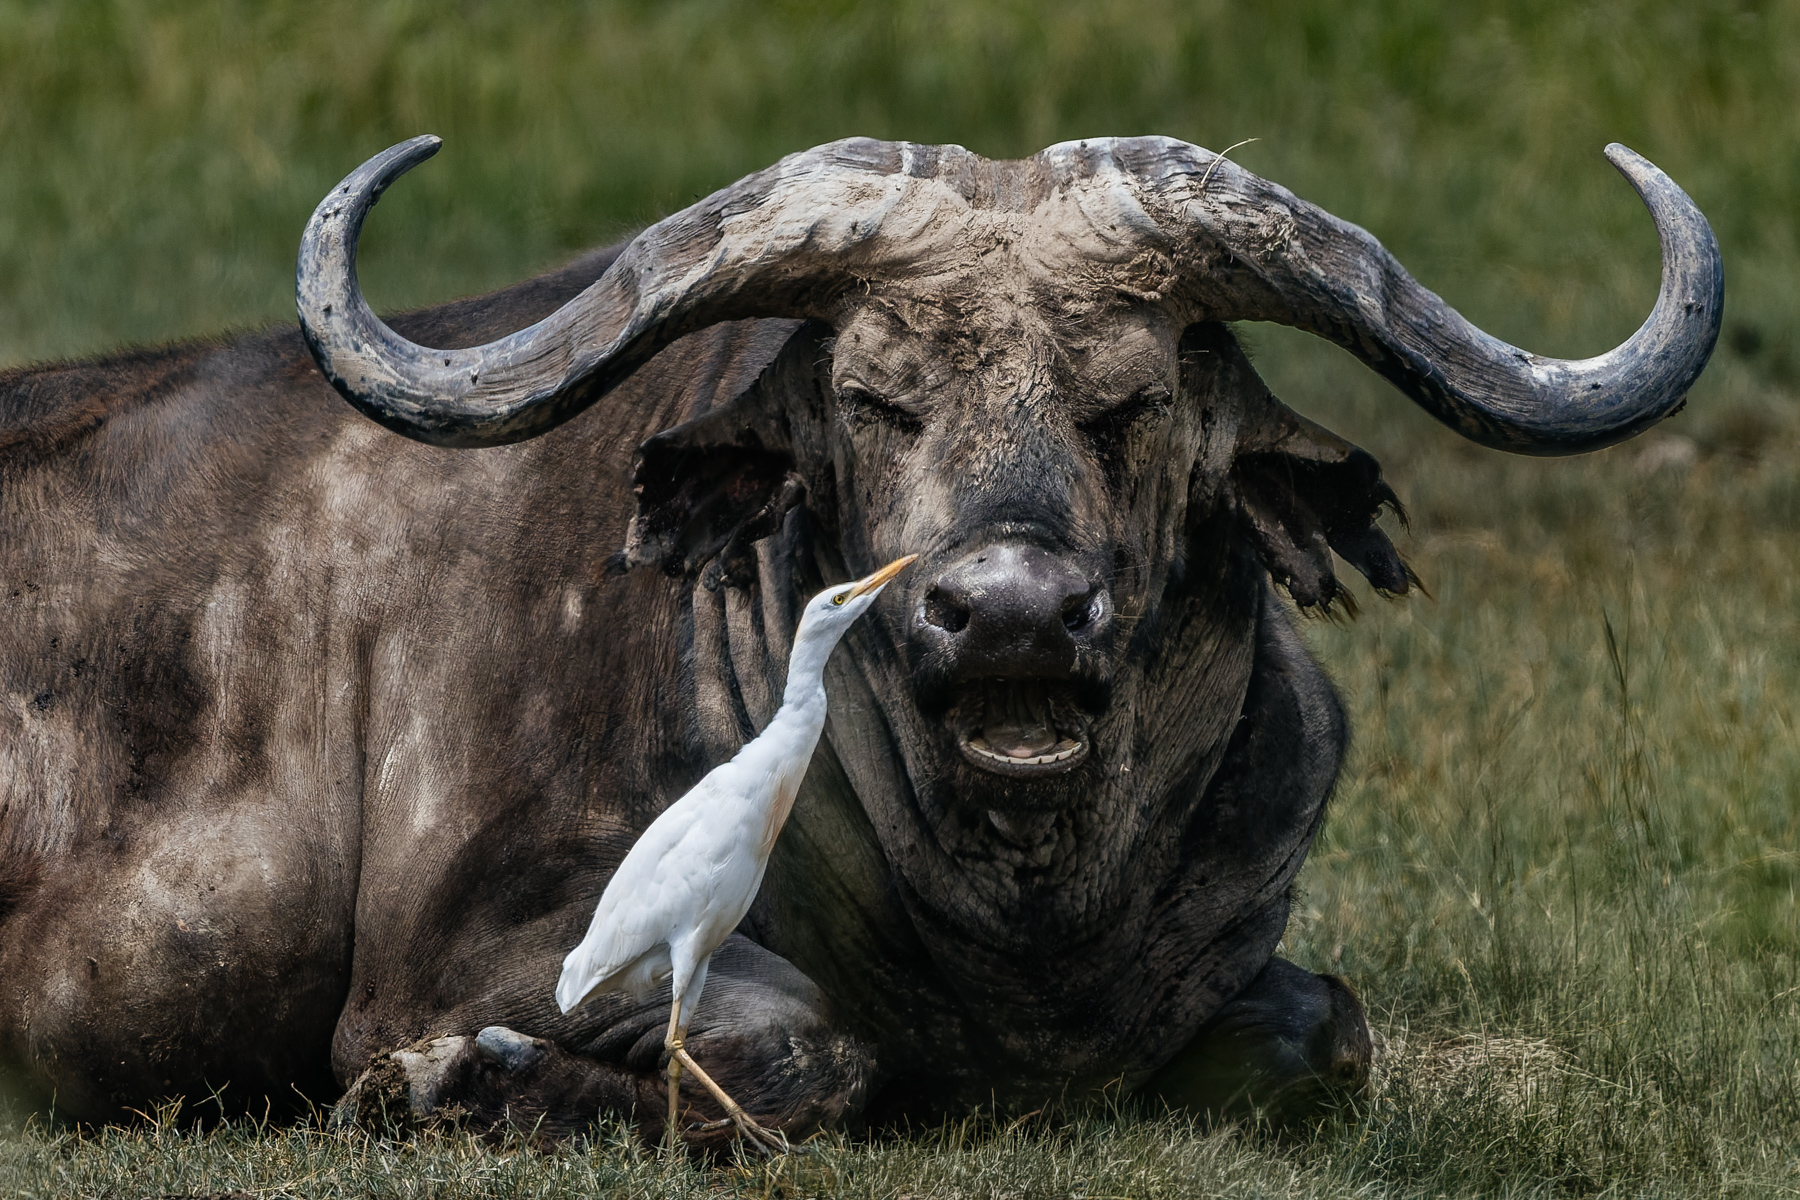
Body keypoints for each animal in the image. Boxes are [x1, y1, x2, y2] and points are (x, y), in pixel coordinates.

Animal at [0, 136, 1719, 1145]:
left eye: (1134, 401)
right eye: (876, 400)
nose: (1011, 611)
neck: (1014, 919)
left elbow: (1331, 1035)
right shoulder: (487, 944)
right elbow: (805, 1046)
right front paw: (456, 1082)